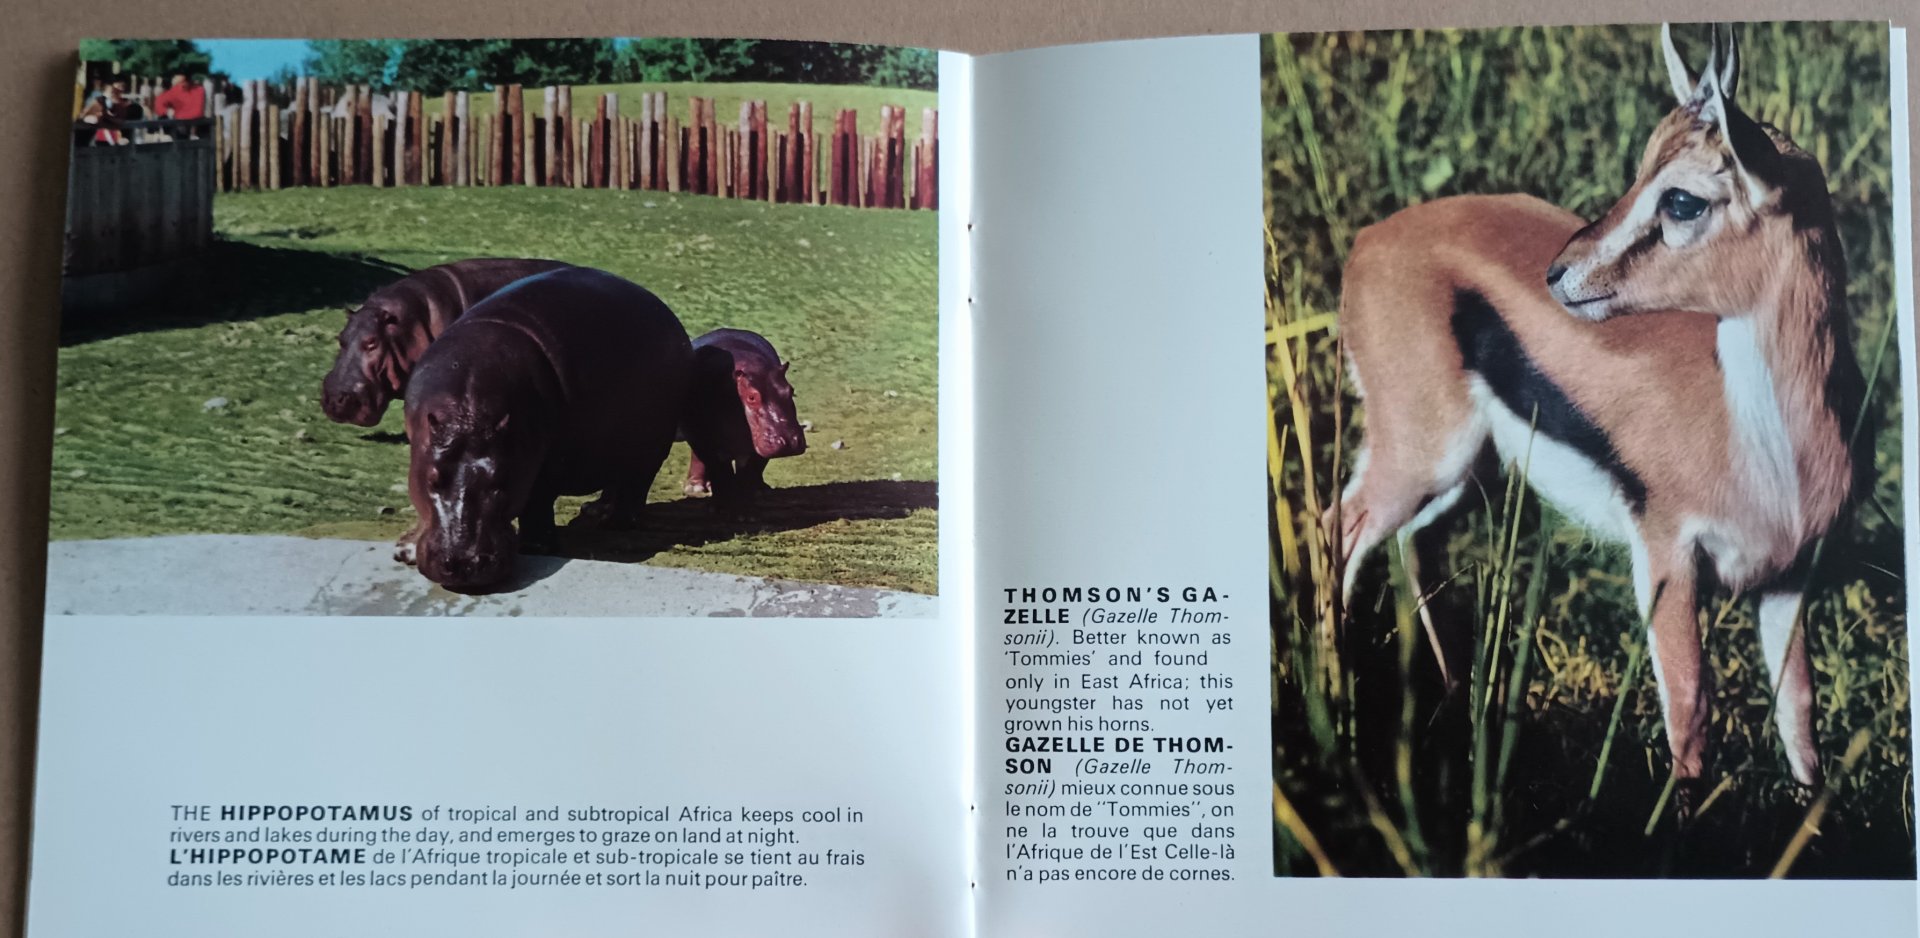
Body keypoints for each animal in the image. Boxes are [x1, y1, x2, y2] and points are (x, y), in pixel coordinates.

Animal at [397, 267, 692, 592]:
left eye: (501, 481)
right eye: (433, 479)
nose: (464, 563)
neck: (468, 410)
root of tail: (668, 315)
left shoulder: (543, 460)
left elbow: (537, 499)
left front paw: (536, 547)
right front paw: (406, 549)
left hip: (650, 446)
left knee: (635, 484)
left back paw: (615, 521)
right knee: (616, 478)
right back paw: (596, 510)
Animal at [681, 328, 807, 512]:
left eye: (790, 390)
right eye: (752, 397)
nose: (791, 441)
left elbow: (749, 473)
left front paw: (745, 506)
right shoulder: (704, 440)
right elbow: (719, 471)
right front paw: (723, 506)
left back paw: (762, 489)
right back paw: (695, 487)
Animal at [1328, 24, 1863, 807]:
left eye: (1682, 199)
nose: (1559, 273)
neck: (1768, 445)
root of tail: (1370, 239)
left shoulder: (1790, 576)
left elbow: (1799, 712)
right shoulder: (1668, 554)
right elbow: (1690, 709)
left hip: (1468, 478)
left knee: (1413, 547)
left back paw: (1454, 703)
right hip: (1423, 459)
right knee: (1340, 529)